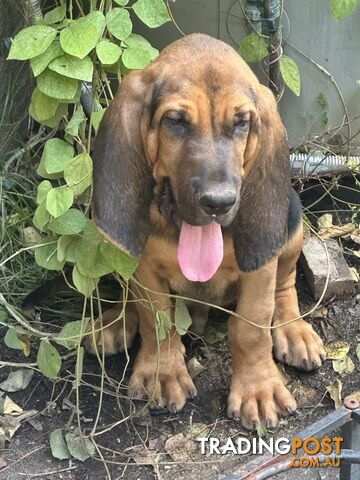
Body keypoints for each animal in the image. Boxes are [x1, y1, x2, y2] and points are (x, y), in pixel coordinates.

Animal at [85, 35, 326, 430]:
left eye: (242, 122)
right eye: (176, 121)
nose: (218, 202)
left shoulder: (259, 269)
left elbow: (252, 328)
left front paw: (259, 389)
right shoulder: (145, 268)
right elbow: (156, 319)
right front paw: (162, 373)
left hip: (290, 224)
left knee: (286, 283)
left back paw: (295, 330)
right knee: (131, 298)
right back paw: (114, 322)